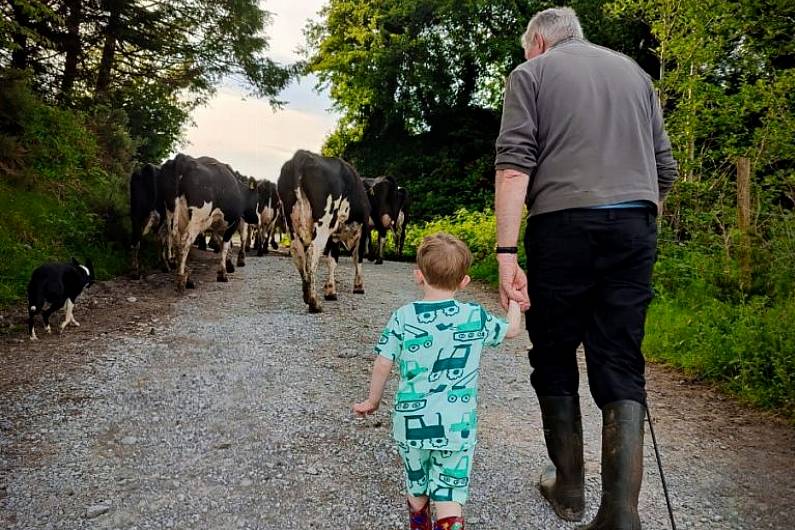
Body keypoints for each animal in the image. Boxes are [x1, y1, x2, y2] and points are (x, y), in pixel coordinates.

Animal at [173, 155, 260, 290]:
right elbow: (226, 245)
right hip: (196, 220)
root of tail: (184, 162)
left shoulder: (217, 224)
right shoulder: (233, 222)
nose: (256, 220)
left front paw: (228, 265)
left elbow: (221, 242)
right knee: (184, 243)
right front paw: (223, 273)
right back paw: (182, 280)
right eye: (257, 200)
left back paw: (187, 277)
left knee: (175, 242)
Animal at [276, 148, 370, 312]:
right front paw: (358, 286)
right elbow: (357, 257)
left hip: (291, 222)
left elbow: (332, 260)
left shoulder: (334, 235)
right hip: (323, 223)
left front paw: (330, 290)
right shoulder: (362, 230)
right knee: (313, 252)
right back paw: (314, 302)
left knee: (297, 251)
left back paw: (307, 296)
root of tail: (301, 156)